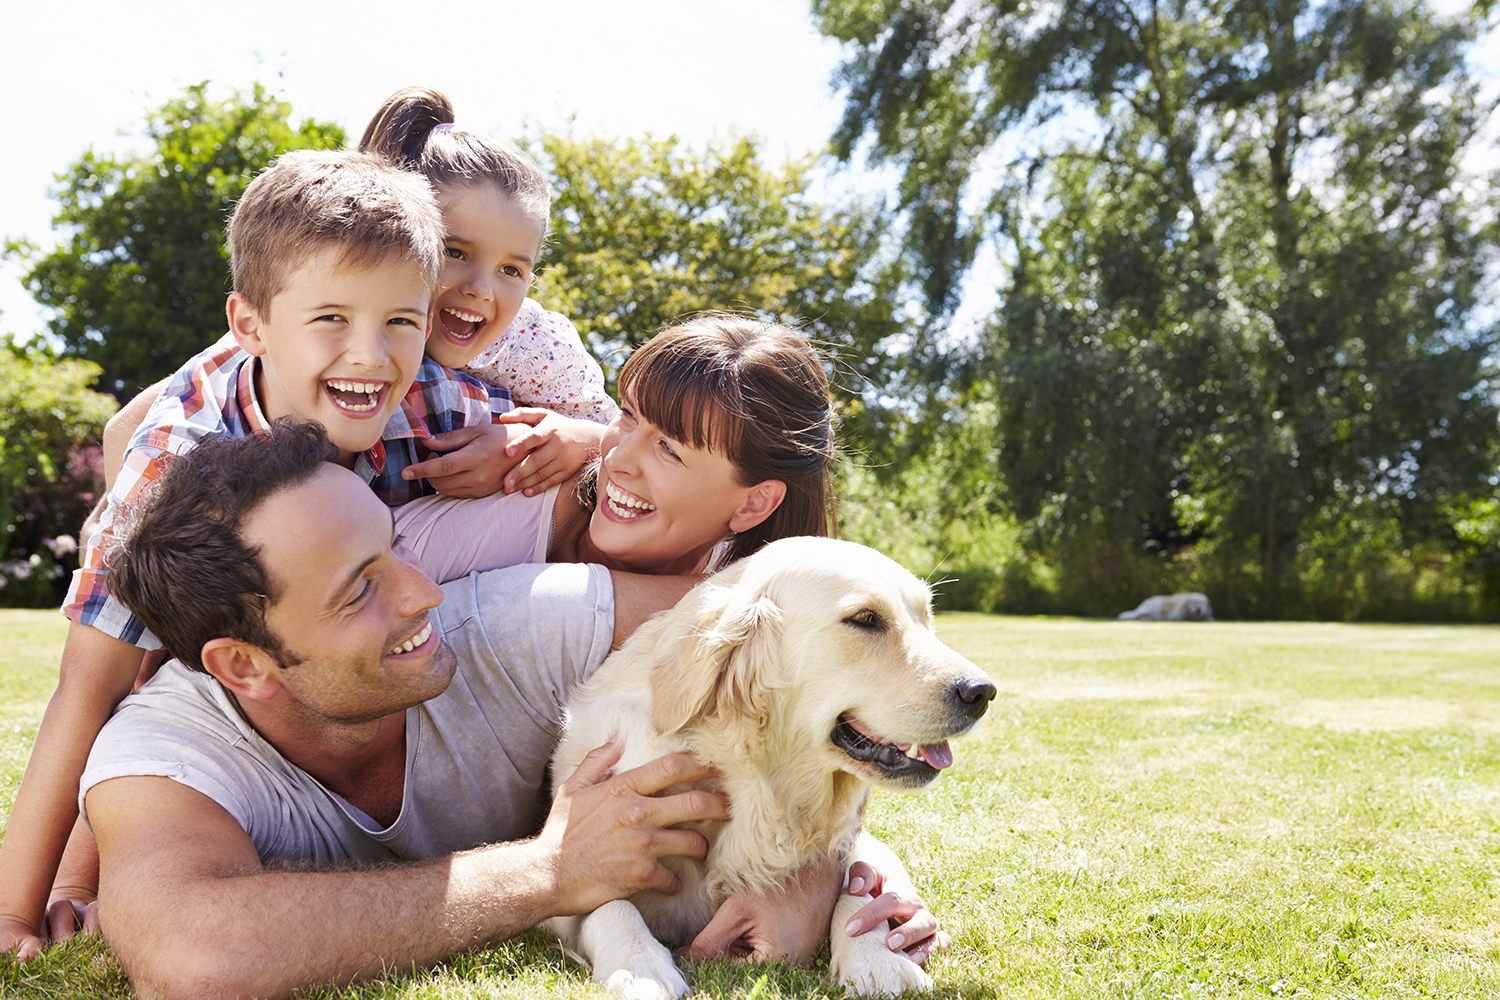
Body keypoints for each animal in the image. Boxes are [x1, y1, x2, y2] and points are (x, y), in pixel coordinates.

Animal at [543, 539, 996, 1000]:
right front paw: (640, 967)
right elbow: (605, 898)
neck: (755, 782)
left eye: (927, 618)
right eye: (865, 619)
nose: (982, 692)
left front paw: (877, 958)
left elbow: (858, 883)